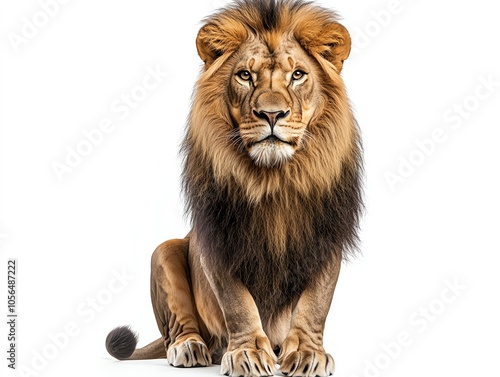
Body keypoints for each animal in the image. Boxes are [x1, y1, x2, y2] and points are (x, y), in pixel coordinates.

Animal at [106, 0, 364, 376]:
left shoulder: (327, 236)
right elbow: (237, 302)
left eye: (297, 75)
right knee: (176, 329)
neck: (274, 179)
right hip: (164, 251)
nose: (271, 114)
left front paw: (307, 352)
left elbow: (316, 302)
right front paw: (248, 353)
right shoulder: (218, 237)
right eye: (245, 75)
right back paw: (190, 347)